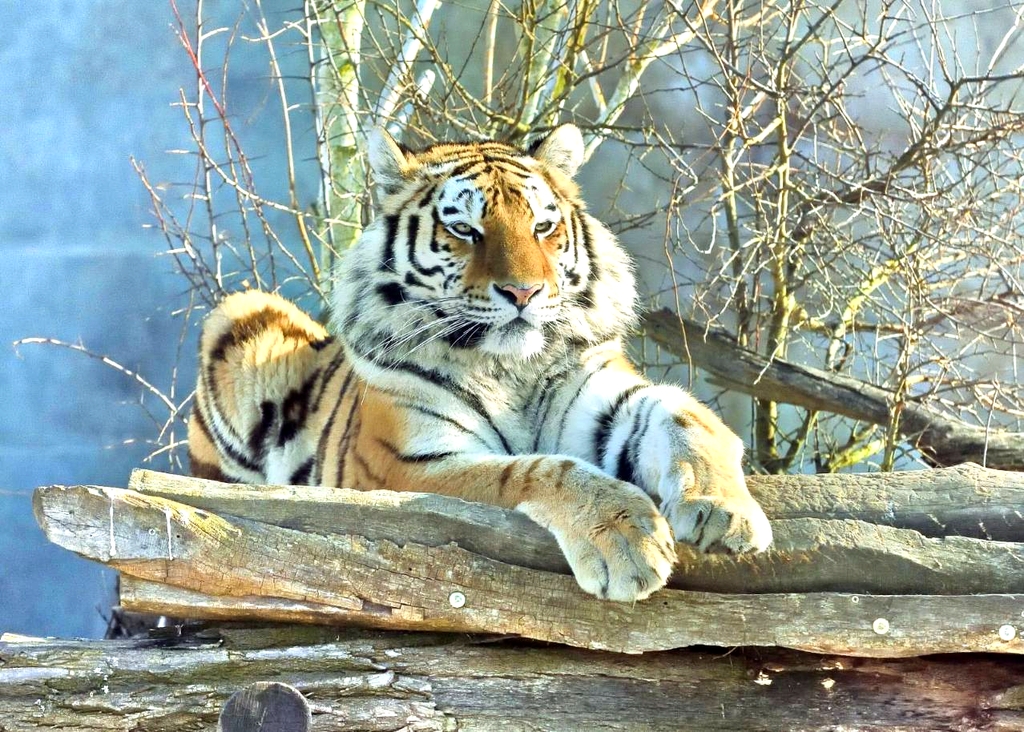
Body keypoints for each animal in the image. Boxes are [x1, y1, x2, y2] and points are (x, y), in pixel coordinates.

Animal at [188, 124, 772, 602]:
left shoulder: (605, 390)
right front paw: (626, 540)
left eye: (542, 228)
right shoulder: (409, 466)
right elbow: (535, 470)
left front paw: (726, 513)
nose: (524, 292)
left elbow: (684, 414)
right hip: (243, 315)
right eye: (465, 230)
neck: (509, 367)